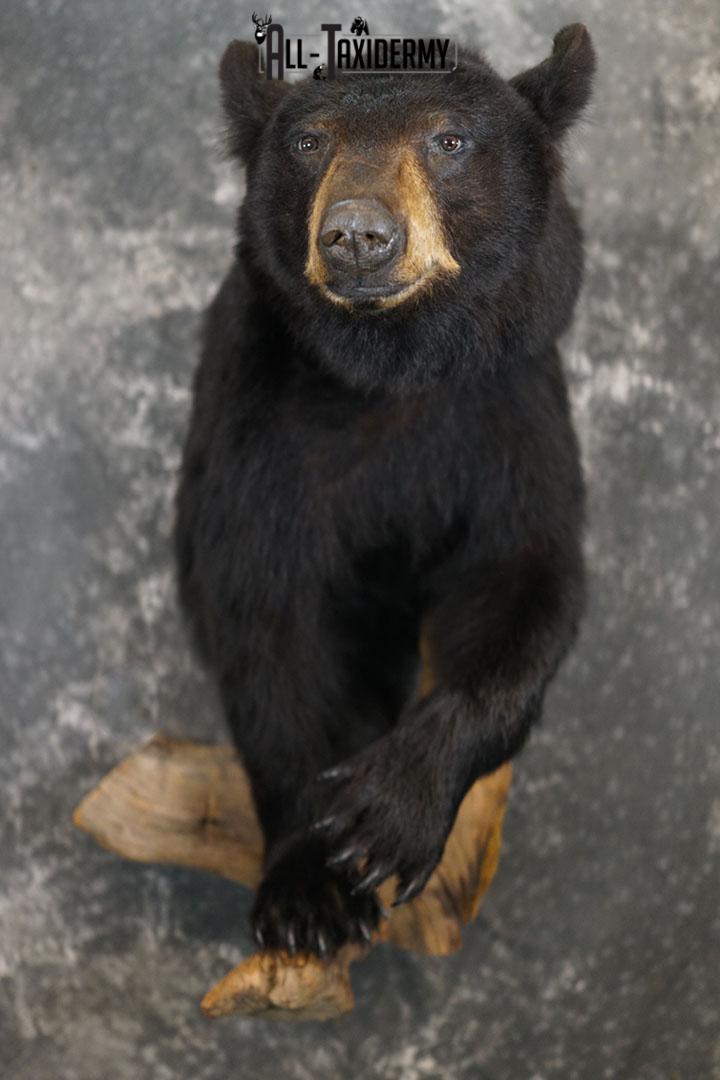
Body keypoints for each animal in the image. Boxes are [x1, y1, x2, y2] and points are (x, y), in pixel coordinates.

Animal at [173, 25, 595, 959]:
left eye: (449, 140)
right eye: (308, 141)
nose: (358, 235)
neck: (391, 374)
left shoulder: (507, 413)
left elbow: (524, 582)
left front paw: (388, 813)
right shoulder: (264, 431)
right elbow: (270, 621)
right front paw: (308, 891)